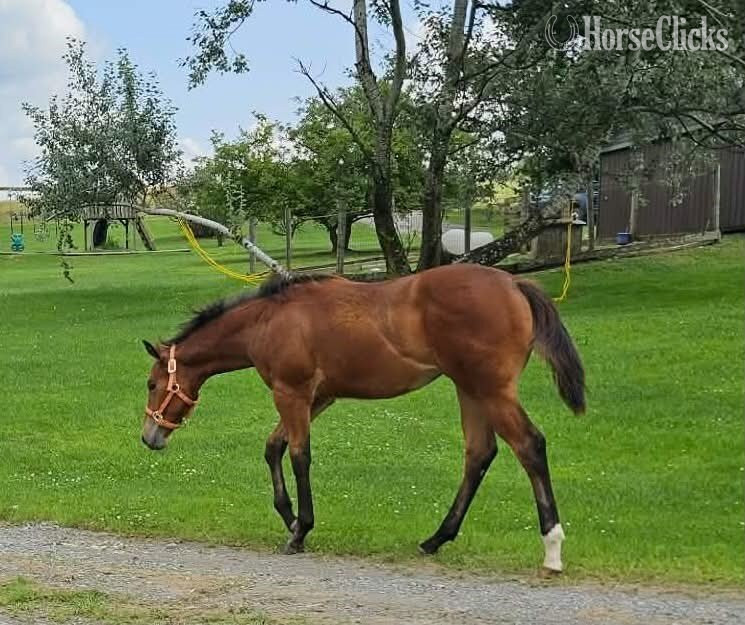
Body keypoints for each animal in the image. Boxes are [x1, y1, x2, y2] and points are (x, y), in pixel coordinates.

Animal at [140, 263, 585, 573]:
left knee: (529, 446)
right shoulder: (319, 397)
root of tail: (514, 284)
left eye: (151, 383)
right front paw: (290, 519)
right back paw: (435, 539)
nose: (149, 437)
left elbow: (299, 455)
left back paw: (552, 549)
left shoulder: (292, 393)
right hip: (470, 390)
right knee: (479, 453)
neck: (268, 320)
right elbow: (273, 447)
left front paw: (300, 531)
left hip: (490, 391)